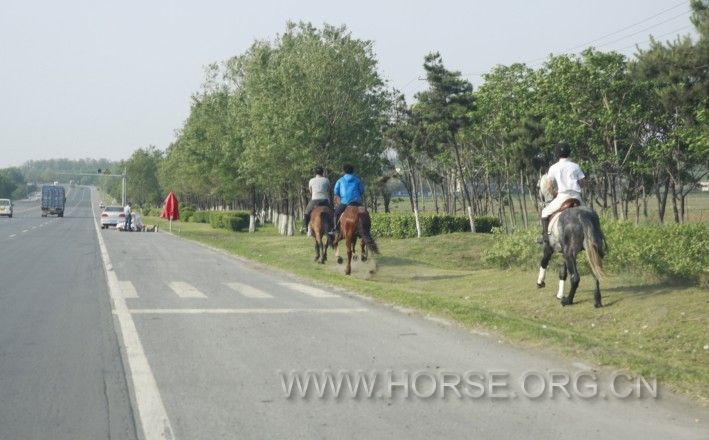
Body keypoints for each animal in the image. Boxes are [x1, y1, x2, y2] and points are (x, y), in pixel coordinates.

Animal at [536, 174, 608, 308]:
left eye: (538, 187)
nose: (541, 203)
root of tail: (582, 216)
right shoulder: (564, 252)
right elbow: (562, 273)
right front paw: (559, 294)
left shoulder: (549, 248)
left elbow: (544, 262)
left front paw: (540, 282)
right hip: (591, 250)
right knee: (595, 272)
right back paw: (597, 300)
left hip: (570, 254)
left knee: (575, 277)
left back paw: (568, 300)